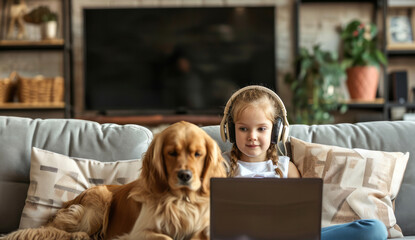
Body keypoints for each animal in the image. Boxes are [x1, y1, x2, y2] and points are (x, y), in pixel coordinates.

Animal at [4, 122, 228, 240]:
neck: (180, 202)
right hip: (99, 198)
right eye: (171, 153)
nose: (185, 176)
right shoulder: (138, 232)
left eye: (198, 154)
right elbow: (165, 237)